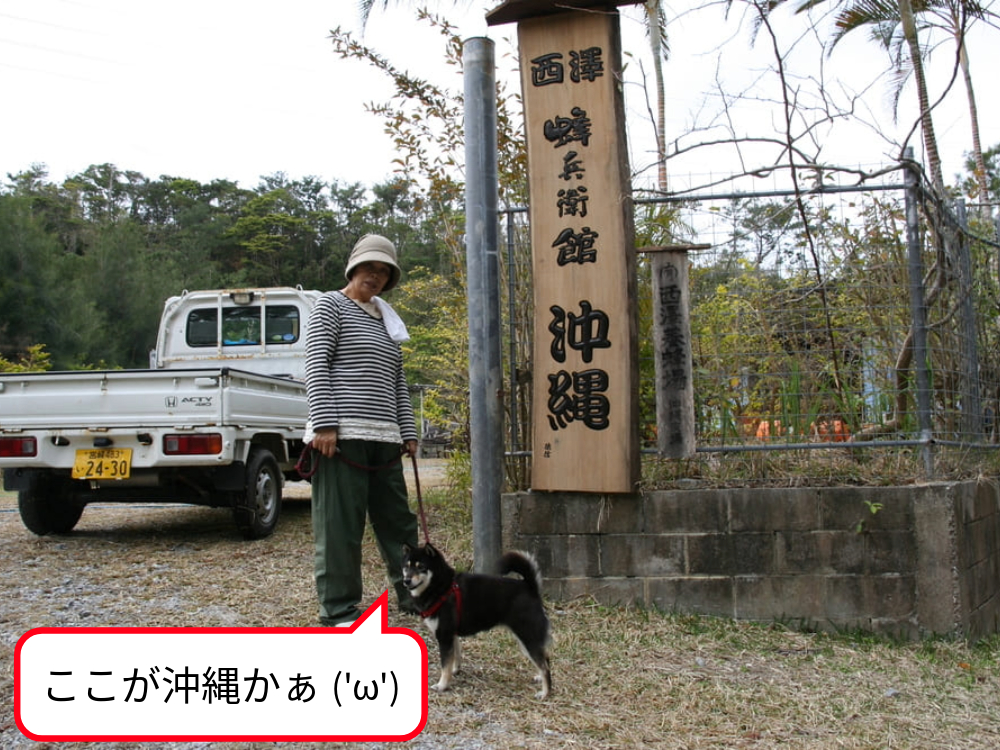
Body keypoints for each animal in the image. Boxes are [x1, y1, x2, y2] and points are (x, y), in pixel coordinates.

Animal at [400, 544, 556, 704]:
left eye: (421, 567)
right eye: (406, 566)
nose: (406, 580)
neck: (442, 587)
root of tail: (530, 587)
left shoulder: (444, 636)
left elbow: (445, 664)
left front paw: (442, 685)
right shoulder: (452, 635)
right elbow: (455, 656)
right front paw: (455, 671)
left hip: (527, 637)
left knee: (545, 667)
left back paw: (545, 693)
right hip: (526, 640)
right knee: (545, 660)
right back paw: (539, 678)